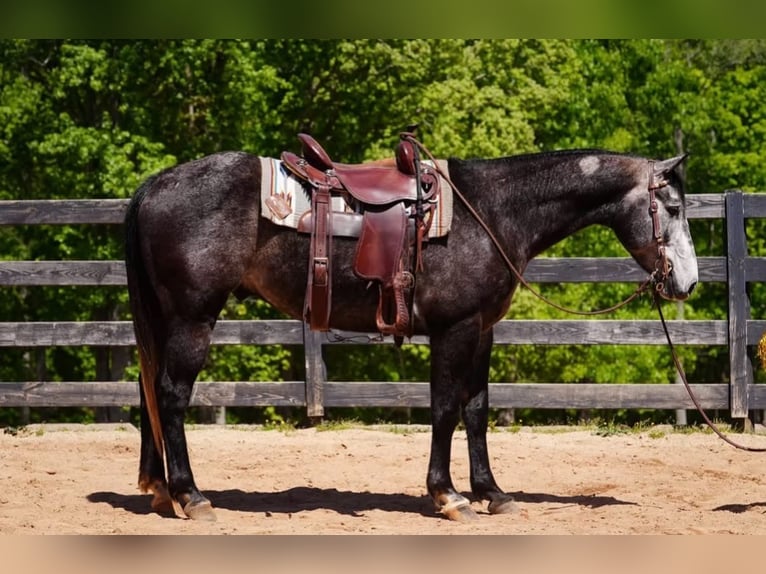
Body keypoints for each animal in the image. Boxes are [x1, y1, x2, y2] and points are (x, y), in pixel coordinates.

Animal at [124, 142, 698, 523]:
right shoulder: (454, 329)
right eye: (672, 208)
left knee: (149, 388)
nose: (688, 282)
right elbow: (444, 409)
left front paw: (492, 492)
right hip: (192, 318)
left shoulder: (482, 330)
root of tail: (154, 186)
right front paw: (448, 495)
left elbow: (476, 410)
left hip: (164, 319)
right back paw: (191, 495)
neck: (491, 213)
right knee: (170, 395)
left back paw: (158, 488)